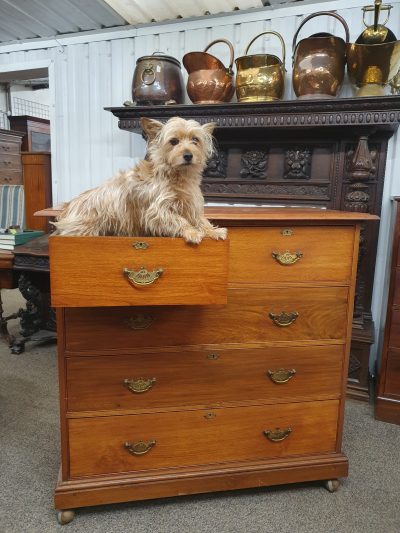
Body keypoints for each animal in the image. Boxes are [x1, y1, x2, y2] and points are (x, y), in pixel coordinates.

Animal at [53, 116, 228, 243]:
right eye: (173, 141)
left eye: (195, 140)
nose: (188, 155)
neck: (175, 175)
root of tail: (67, 208)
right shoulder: (158, 210)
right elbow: (178, 220)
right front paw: (192, 232)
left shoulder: (190, 205)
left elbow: (201, 220)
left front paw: (212, 231)